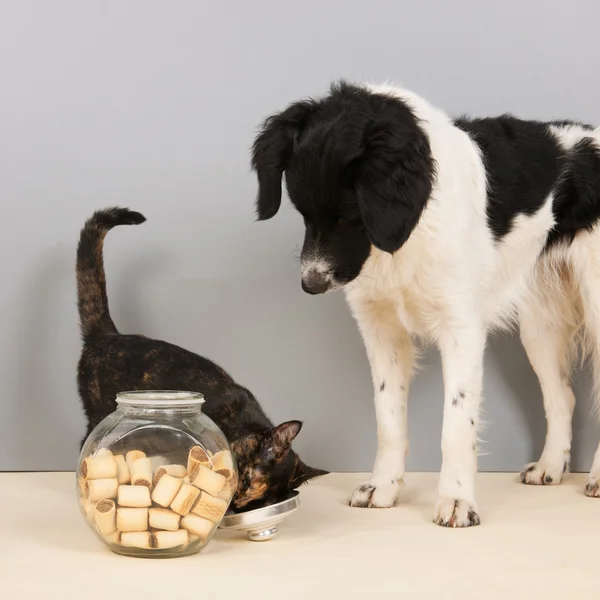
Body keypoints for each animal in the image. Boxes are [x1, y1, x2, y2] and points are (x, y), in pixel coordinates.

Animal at [248, 78, 600, 524]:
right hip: (540, 323)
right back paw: (551, 466)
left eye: (349, 216)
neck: (409, 228)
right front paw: (382, 487)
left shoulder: (462, 329)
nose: (310, 284)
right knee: (562, 396)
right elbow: (388, 421)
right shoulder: (381, 331)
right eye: (302, 213)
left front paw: (457, 500)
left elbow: (456, 425)